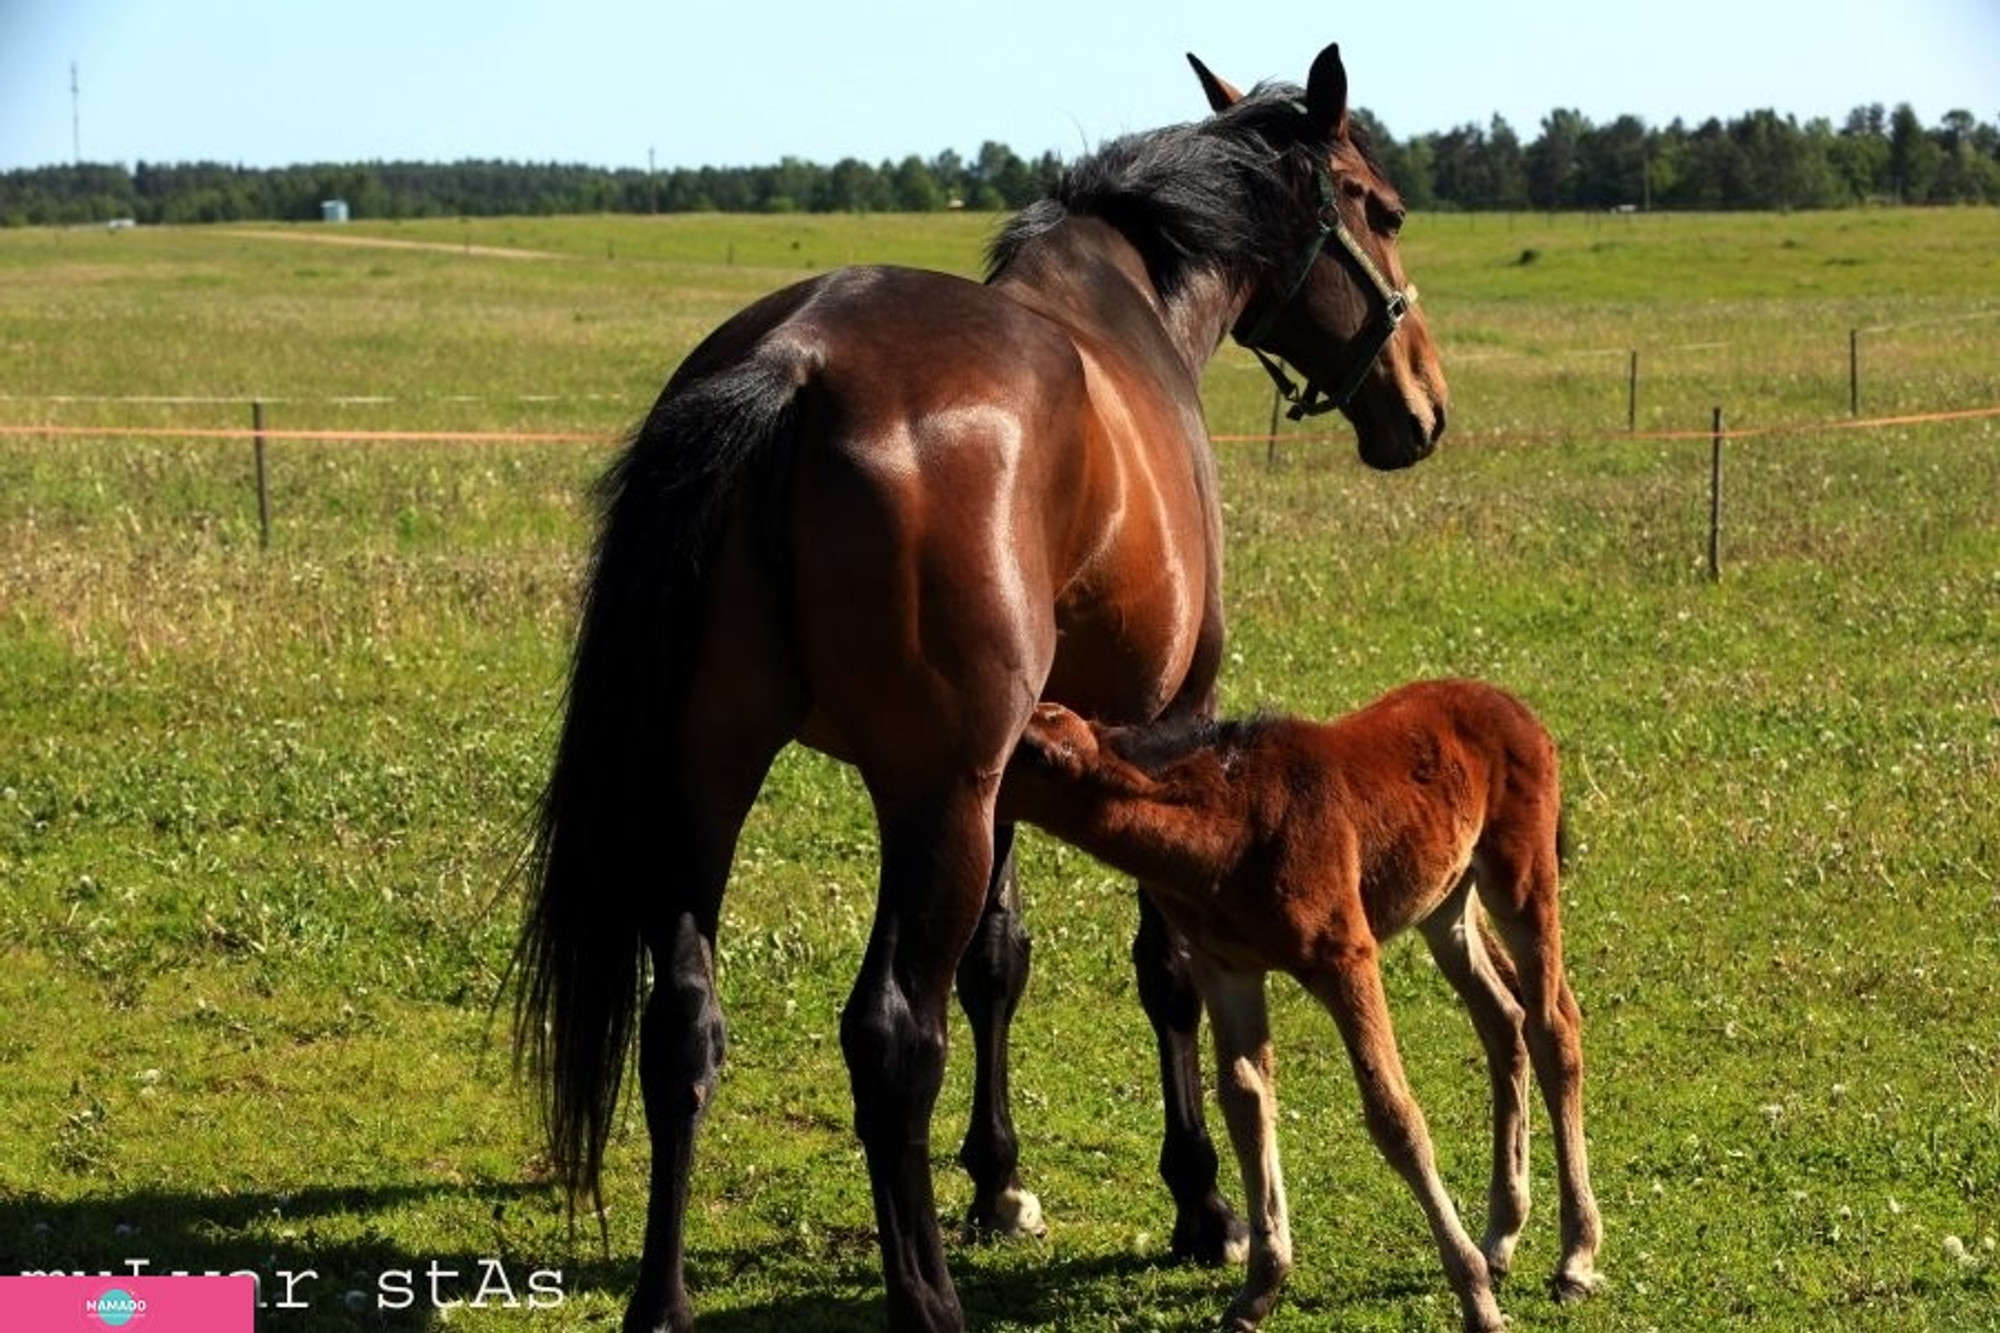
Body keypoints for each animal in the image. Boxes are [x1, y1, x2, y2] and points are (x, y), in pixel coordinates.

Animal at [512, 41, 1456, 1328]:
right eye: (1385, 210)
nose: (1422, 403)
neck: (1125, 317)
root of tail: (791, 365)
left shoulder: (1023, 764)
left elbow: (996, 963)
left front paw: (999, 1181)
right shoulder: (1153, 726)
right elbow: (1162, 970)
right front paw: (1200, 1202)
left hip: (709, 774)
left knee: (683, 1026)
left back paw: (662, 1300)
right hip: (931, 796)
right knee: (888, 1035)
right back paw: (927, 1298)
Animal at [1000, 680, 1608, 1320]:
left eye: (1024, 752)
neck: (1231, 822)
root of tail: (1514, 707)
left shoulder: (1346, 958)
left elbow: (1395, 1115)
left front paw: (1476, 1300)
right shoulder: (1227, 970)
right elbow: (1246, 1102)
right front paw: (1258, 1289)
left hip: (1521, 882)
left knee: (1552, 1026)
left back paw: (1574, 1257)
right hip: (1446, 906)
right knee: (1503, 1019)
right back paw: (1501, 1236)